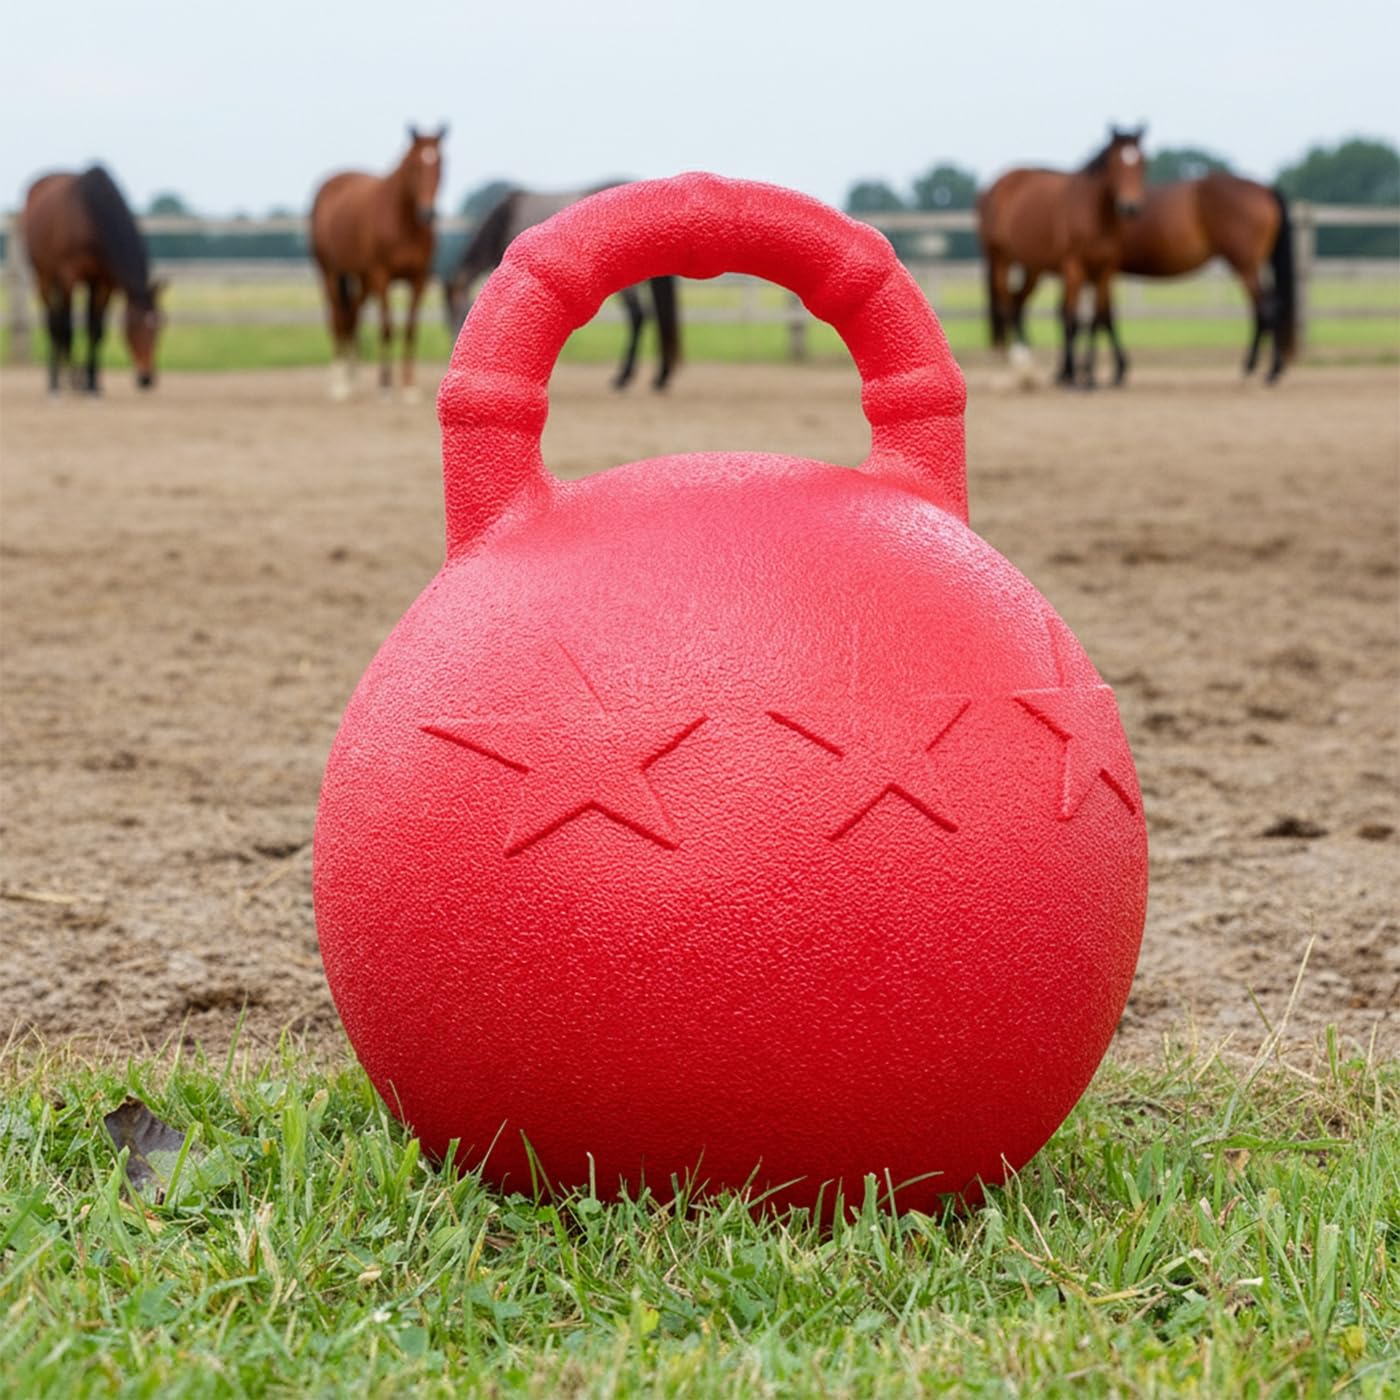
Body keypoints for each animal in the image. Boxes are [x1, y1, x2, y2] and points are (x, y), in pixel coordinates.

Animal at [22, 166, 165, 394]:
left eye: (160, 328)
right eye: (133, 326)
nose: (146, 379)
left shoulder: (104, 282)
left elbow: (96, 330)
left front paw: (92, 384)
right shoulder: (69, 276)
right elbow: (67, 328)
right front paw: (72, 382)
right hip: (44, 276)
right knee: (54, 322)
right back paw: (56, 381)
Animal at [310, 125, 446, 400]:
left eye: (441, 164)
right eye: (414, 165)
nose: (427, 213)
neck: (405, 223)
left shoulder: (419, 279)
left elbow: (410, 329)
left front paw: (409, 386)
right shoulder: (381, 276)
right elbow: (387, 327)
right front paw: (385, 384)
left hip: (363, 279)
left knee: (352, 315)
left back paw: (351, 375)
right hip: (330, 273)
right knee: (338, 318)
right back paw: (339, 382)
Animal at [443, 187, 681, 390]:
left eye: (457, 313)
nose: (454, 345)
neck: (504, 216)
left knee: (638, 316)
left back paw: (624, 377)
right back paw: (660, 377)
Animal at [978, 127, 1148, 386]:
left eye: (1143, 162)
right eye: (1115, 163)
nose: (1129, 206)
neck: (1096, 214)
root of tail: (994, 185)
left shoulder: (1105, 270)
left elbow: (1099, 317)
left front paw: (1092, 372)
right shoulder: (1073, 267)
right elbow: (1073, 318)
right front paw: (1078, 376)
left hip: (1033, 268)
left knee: (1018, 301)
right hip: (1000, 259)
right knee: (1006, 301)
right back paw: (1020, 356)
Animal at [1095, 174, 1296, 382]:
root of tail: (1266, 190)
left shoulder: (1103, 271)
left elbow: (1103, 317)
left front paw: (1118, 370)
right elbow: (1106, 315)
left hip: (1246, 266)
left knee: (1267, 308)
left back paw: (1271, 369)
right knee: (1263, 308)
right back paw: (1254, 366)